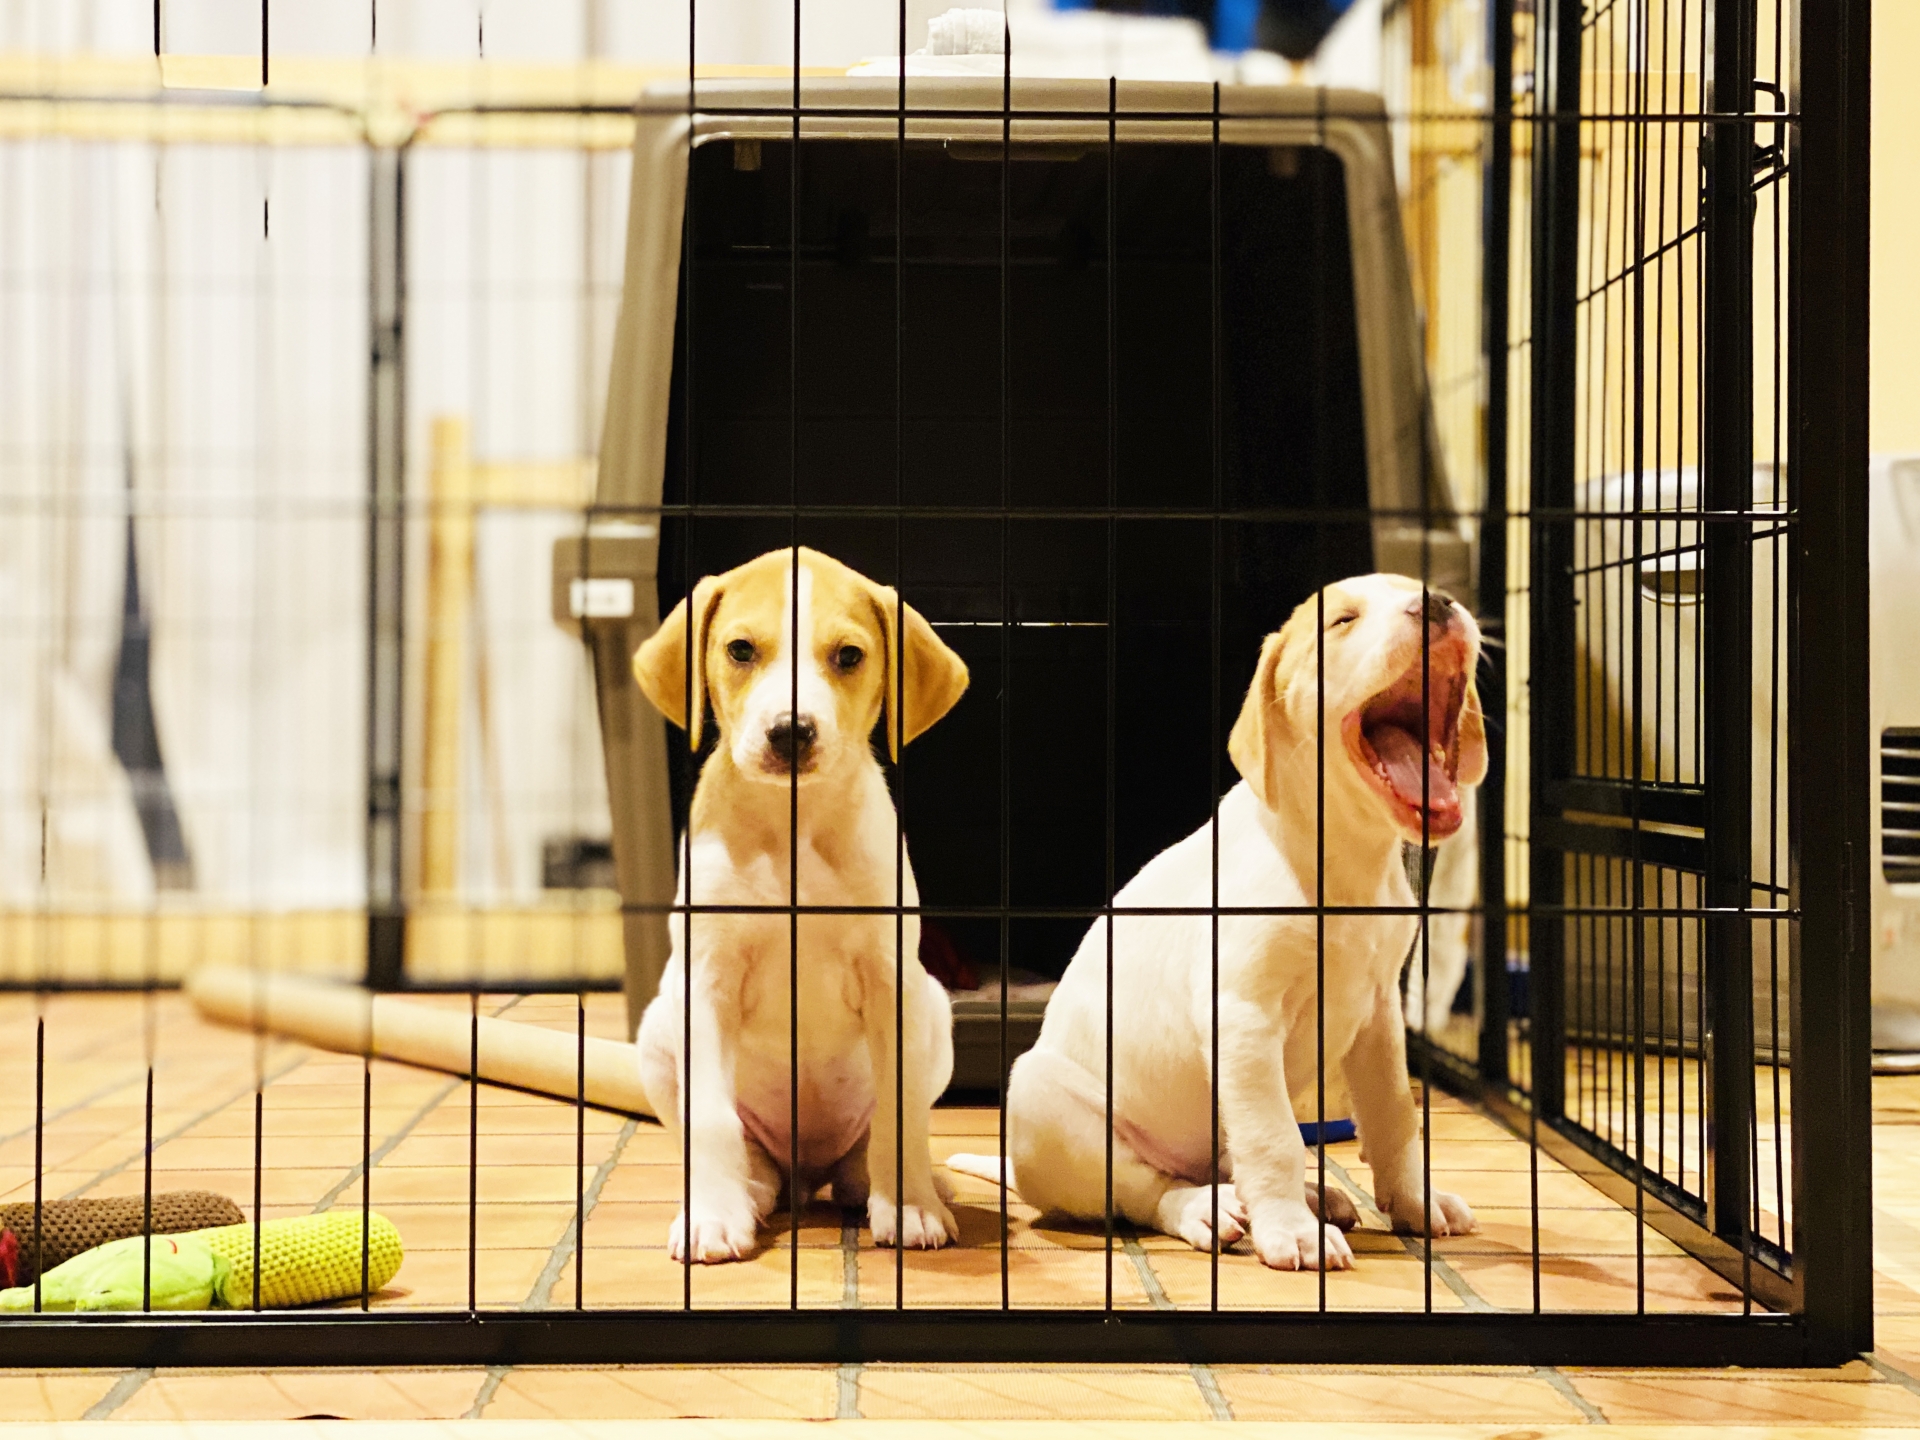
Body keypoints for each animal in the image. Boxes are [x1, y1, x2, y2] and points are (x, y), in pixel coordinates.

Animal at [629, 545, 967, 1259]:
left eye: (848, 655)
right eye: (740, 650)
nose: (791, 732)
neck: (793, 828)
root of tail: (806, 1173)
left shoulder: (891, 980)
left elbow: (902, 1110)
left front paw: (911, 1207)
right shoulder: (706, 982)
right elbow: (710, 1117)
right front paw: (712, 1216)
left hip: (933, 1012)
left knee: (877, 1142)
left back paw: (881, 1186)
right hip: (658, 1032)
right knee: (740, 1150)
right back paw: (747, 1190)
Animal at [975, 576, 1482, 1274]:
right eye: (1342, 621)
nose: (1436, 603)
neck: (1343, 857)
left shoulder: (1378, 1015)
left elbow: (1395, 1119)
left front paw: (1415, 1201)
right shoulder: (1241, 1014)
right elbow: (1274, 1135)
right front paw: (1292, 1232)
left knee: (1226, 1161)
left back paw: (1313, 1195)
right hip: (1043, 1095)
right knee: (1143, 1190)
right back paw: (1209, 1209)